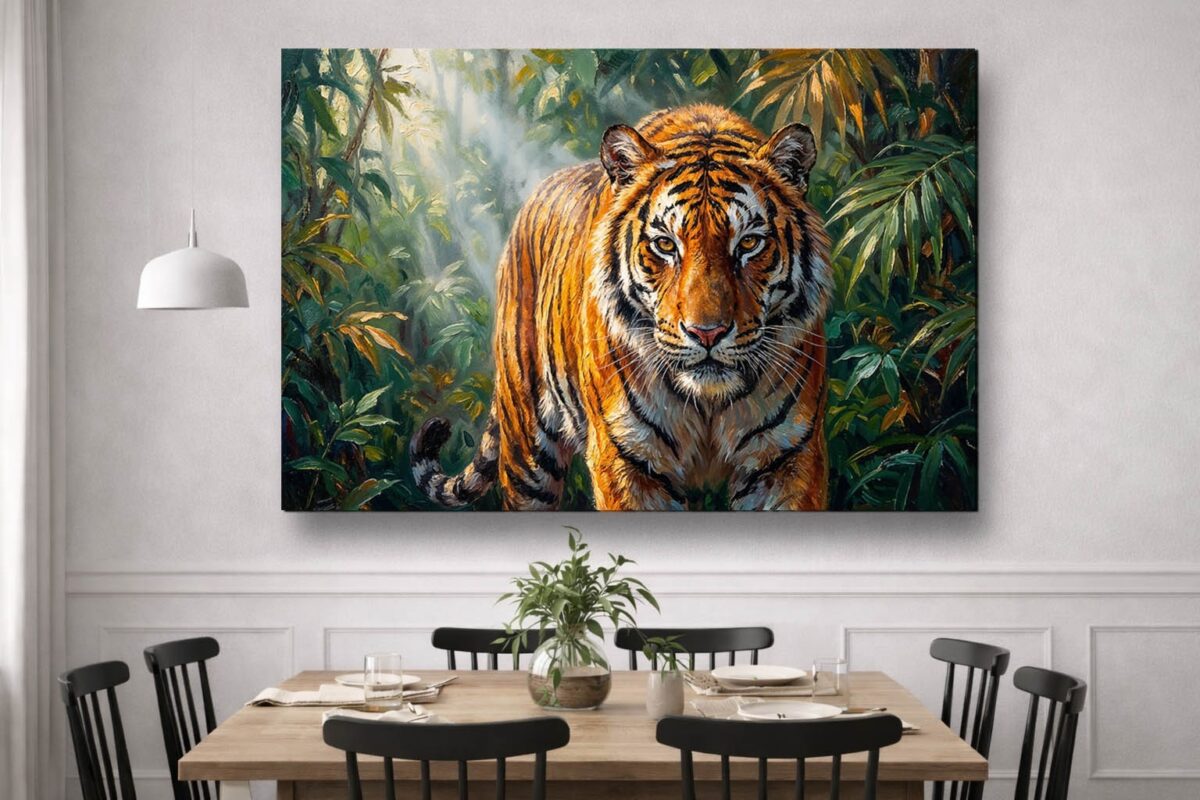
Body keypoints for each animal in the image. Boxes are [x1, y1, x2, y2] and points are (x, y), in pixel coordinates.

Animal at [410, 103, 832, 511]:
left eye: (748, 243)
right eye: (665, 245)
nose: (707, 333)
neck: (707, 403)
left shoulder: (786, 457)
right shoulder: (628, 459)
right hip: (526, 454)